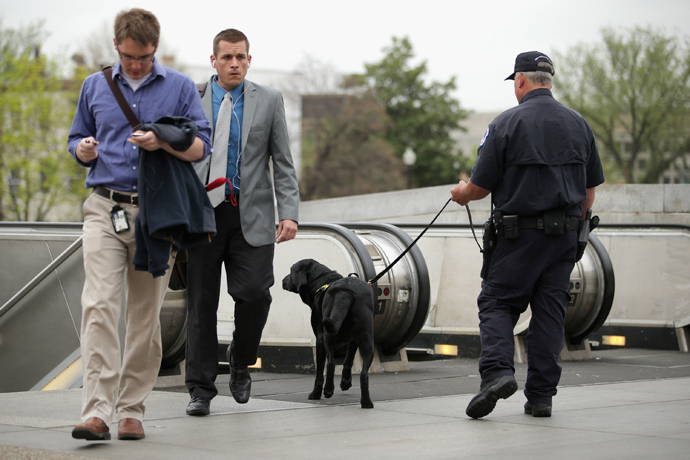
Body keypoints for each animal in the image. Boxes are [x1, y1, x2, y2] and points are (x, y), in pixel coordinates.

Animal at [280, 258, 376, 410]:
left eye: (291, 271)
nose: (283, 280)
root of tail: (345, 292)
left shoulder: (319, 338)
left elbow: (320, 371)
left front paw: (316, 393)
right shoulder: (354, 340)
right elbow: (348, 360)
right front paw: (346, 381)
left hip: (328, 336)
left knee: (330, 364)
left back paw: (328, 390)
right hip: (367, 340)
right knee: (364, 374)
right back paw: (366, 402)